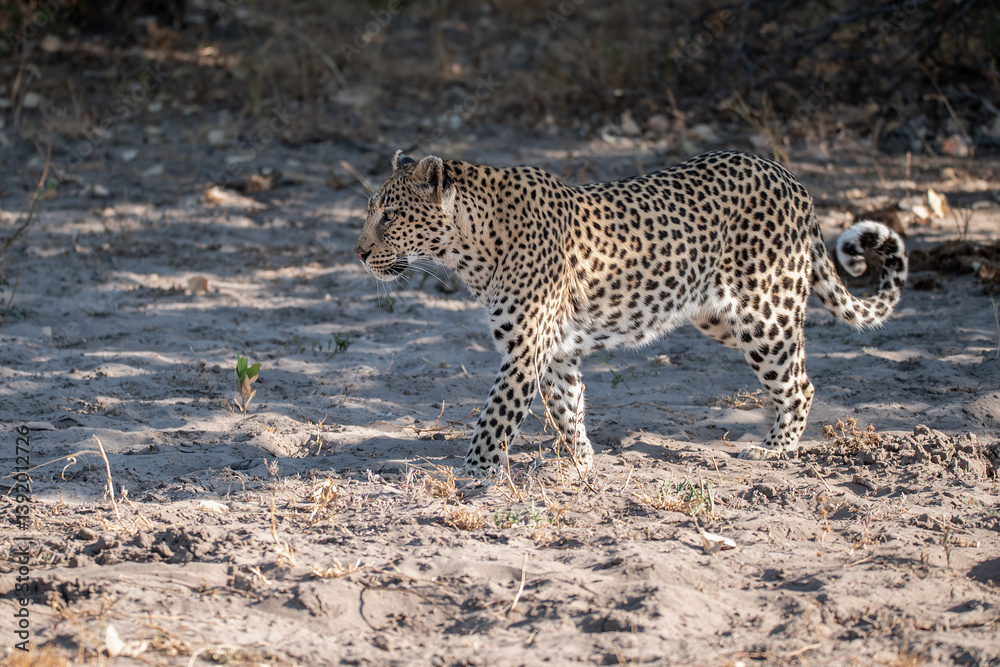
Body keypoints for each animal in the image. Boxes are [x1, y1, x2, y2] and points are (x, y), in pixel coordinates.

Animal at [353, 149, 907, 476]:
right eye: (371, 211)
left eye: (391, 215)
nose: (357, 252)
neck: (472, 248)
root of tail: (790, 178)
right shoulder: (554, 351)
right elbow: (567, 408)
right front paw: (581, 462)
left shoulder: (525, 350)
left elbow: (495, 416)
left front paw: (471, 472)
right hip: (720, 316)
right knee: (797, 374)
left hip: (764, 311)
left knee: (799, 382)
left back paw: (774, 448)